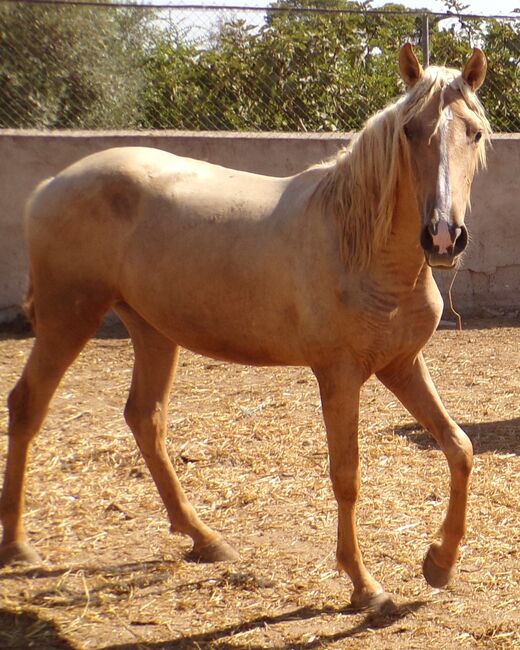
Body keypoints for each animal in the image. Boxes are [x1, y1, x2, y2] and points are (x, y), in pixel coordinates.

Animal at [0, 45, 490, 608]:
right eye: (411, 130)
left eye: (474, 132)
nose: (443, 237)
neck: (361, 247)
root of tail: (51, 185)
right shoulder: (340, 376)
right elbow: (347, 476)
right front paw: (364, 586)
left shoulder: (402, 365)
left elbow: (460, 447)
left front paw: (440, 563)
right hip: (68, 318)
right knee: (28, 404)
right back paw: (17, 544)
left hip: (151, 329)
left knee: (145, 419)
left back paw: (204, 539)